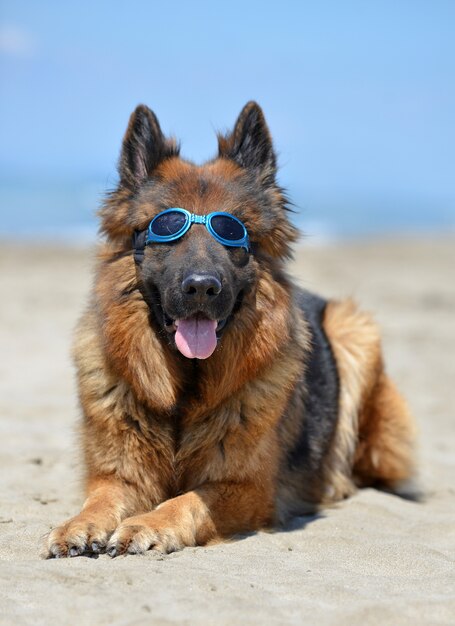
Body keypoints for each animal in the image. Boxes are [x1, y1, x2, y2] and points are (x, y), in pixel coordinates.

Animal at [45, 101, 416, 556]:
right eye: (166, 227)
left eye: (231, 230)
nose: (202, 287)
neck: (185, 390)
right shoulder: (120, 474)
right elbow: (101, 498)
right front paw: (79, 524)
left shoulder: (245, 487)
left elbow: (185, 501)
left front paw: (148, 523)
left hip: (354, 329)